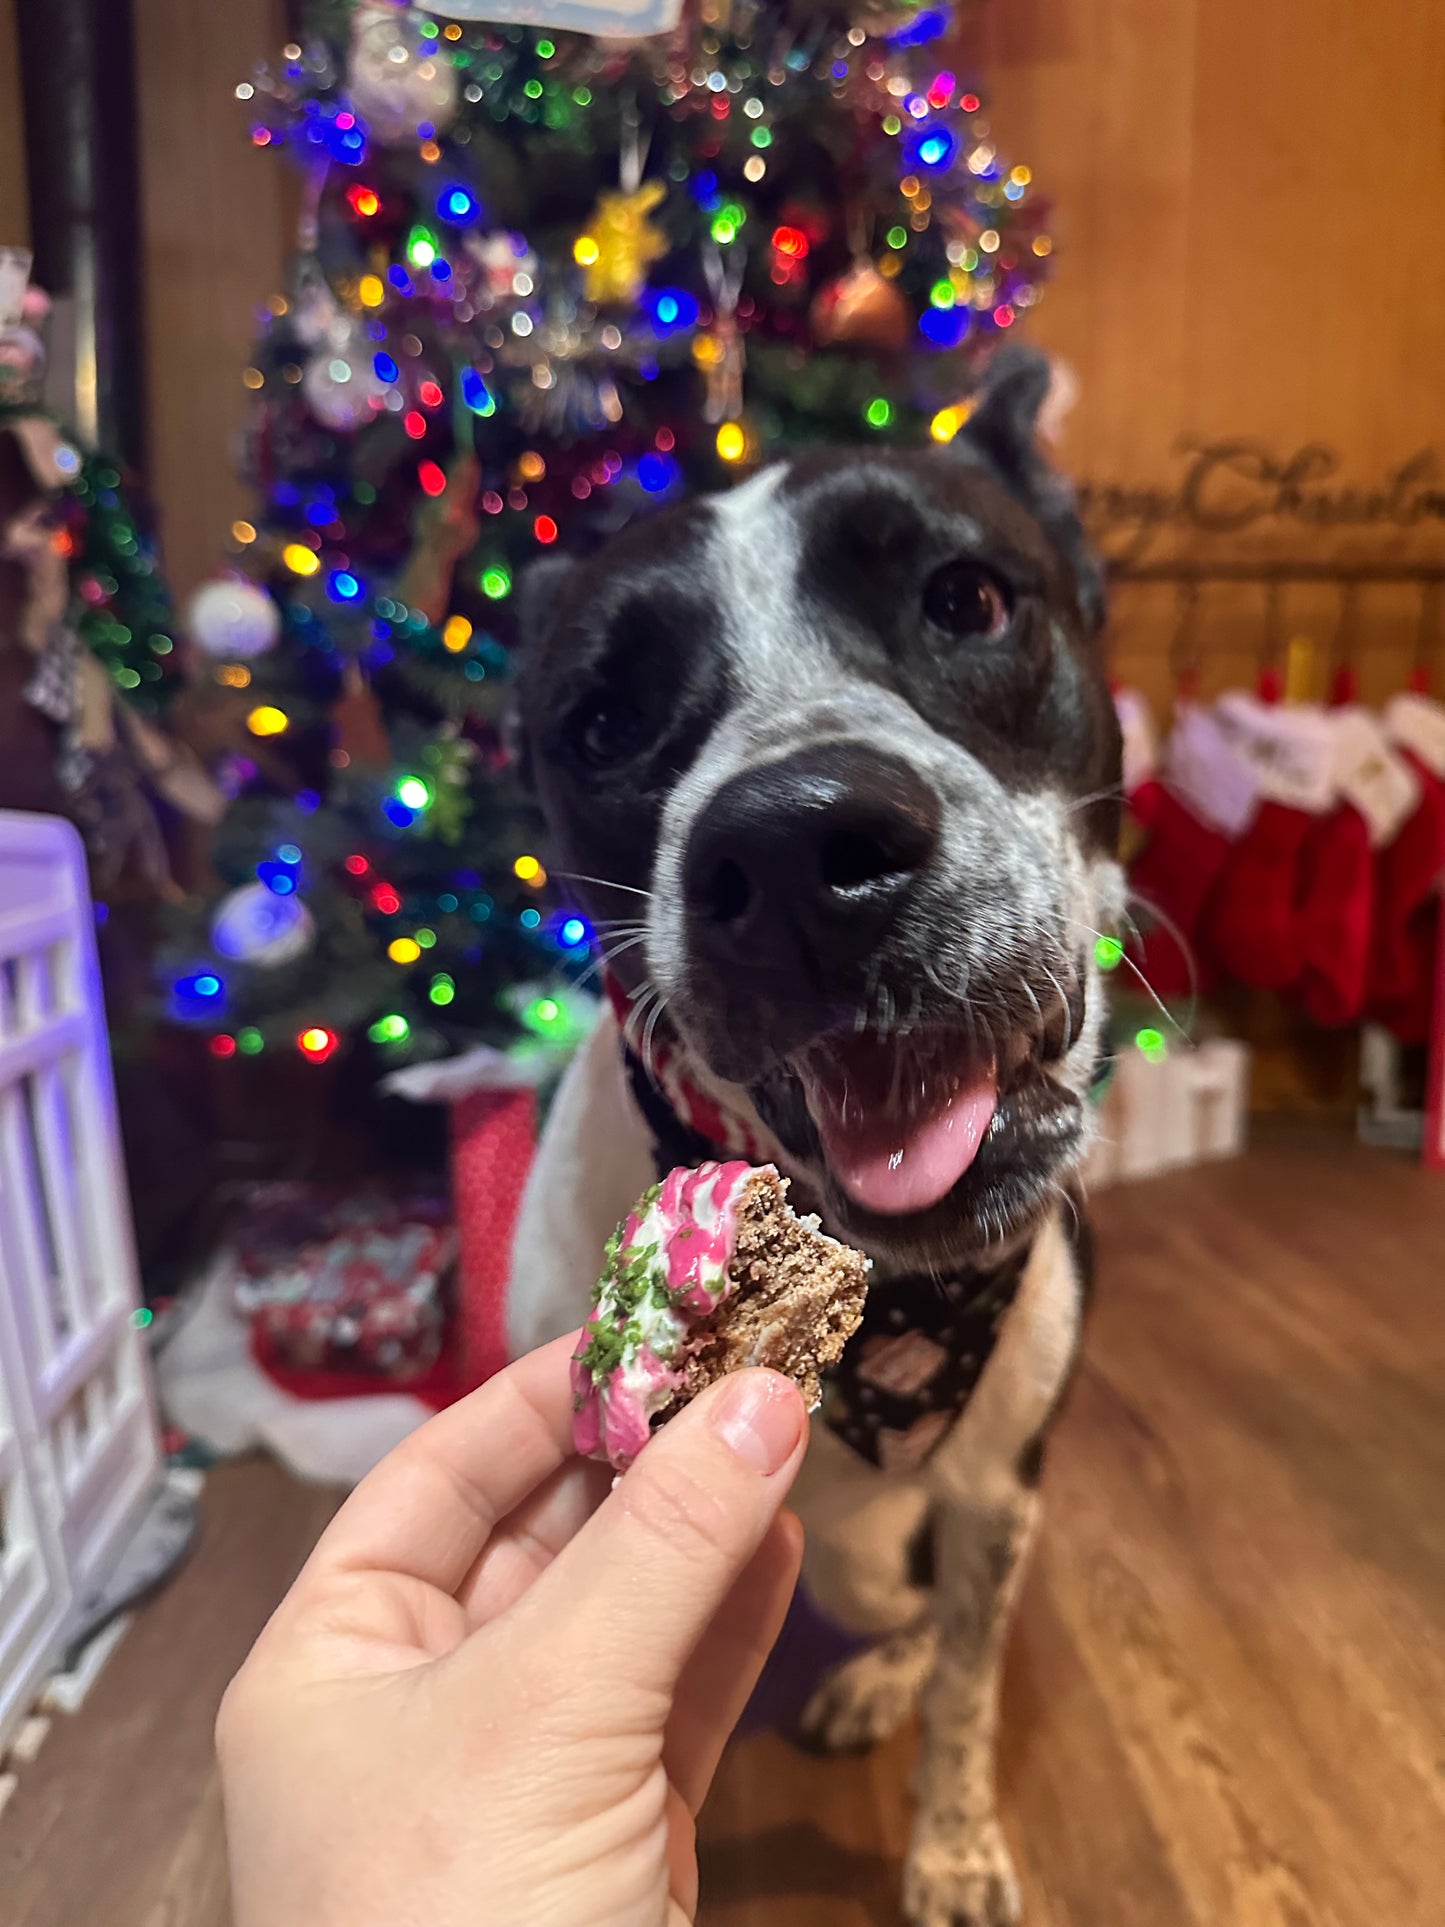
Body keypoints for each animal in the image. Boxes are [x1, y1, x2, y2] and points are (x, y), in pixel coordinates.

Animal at [508, 350, 1132, 1927]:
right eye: (600, 723)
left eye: (966, 599)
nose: (794, 849)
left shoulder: (998, 1488)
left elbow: (970, 1692)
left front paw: (953, 1844)